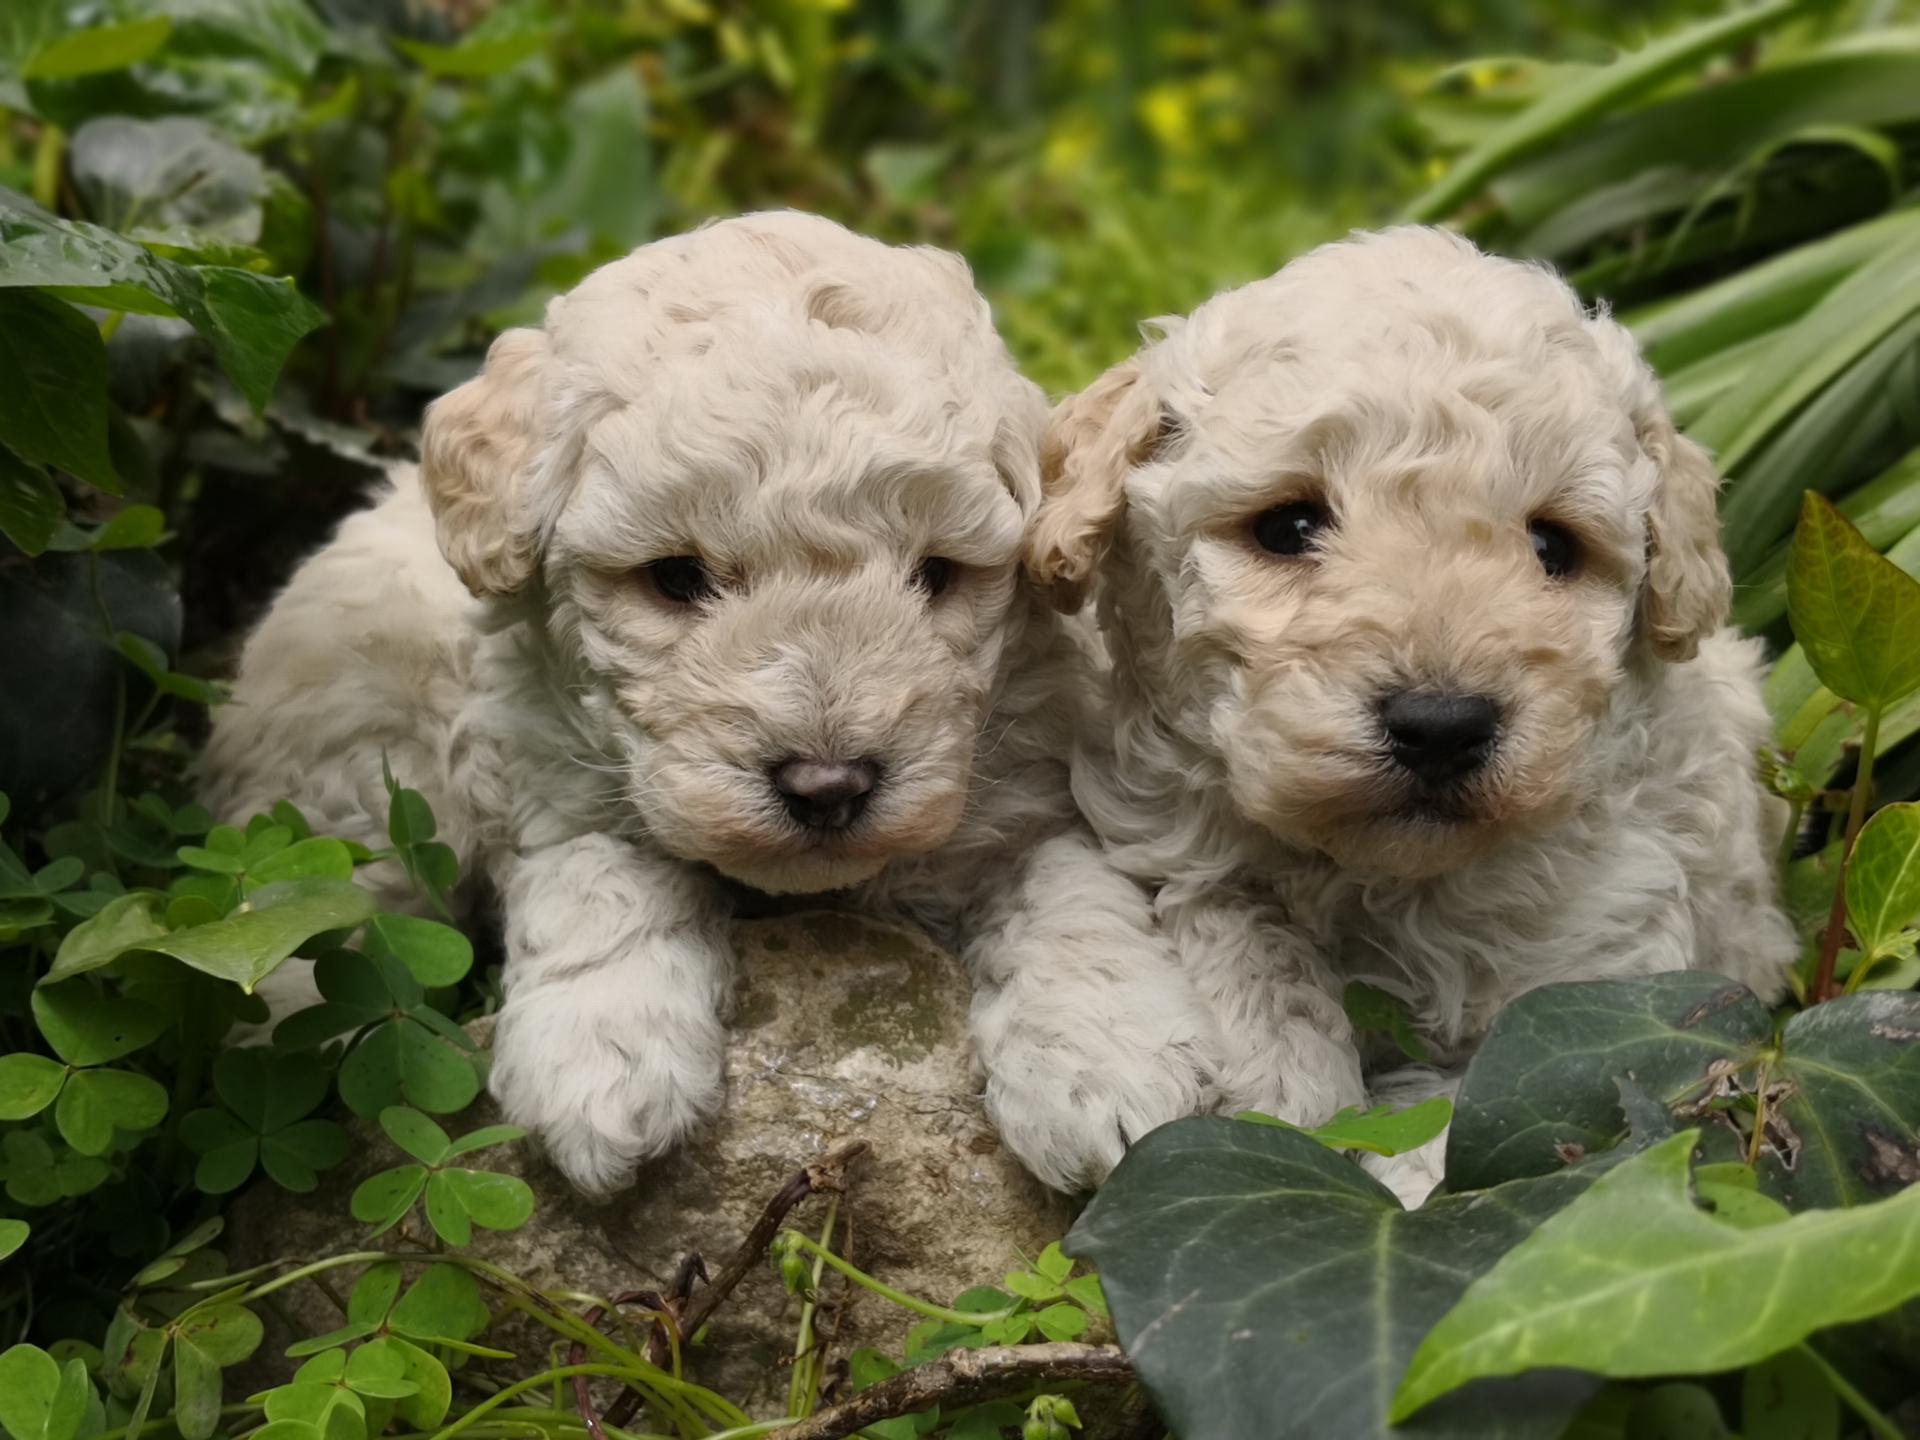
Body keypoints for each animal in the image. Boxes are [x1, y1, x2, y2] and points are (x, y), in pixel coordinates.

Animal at [202, 211, 1205, 1198]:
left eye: (937, 574)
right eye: (675, 578)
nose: (828, 787)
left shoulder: (1030, 783)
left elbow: (1067, 886)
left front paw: (1104, 1061)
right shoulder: (559, 777)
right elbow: (602, 875)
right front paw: (601, 1059)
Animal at [1036, 231, 1797, 1213]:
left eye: (1552, 546)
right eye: (1288, 526)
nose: (1442, 725)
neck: (1390, 878)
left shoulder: (1605, 963)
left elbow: (1487, 1109)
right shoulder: (1171, 828)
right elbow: (1236, 925)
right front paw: (1282, 1081)